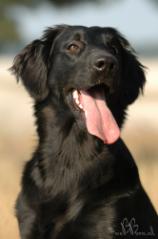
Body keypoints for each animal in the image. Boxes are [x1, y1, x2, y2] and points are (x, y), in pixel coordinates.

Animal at [10, 25, 157, 238]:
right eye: (73, 46)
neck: (71, 155)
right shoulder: (30, 221)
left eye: (114, 49)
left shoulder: (105, 219)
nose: (107, 64)